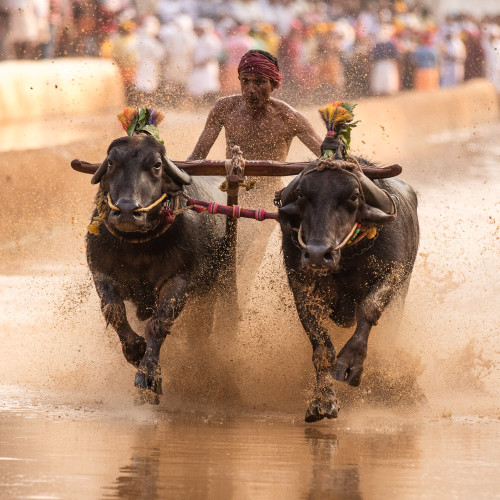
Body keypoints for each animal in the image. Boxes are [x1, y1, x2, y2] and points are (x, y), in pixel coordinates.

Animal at [78, 134, 229, 402]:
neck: (140, 248)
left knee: (200, 329)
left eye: (157, 165)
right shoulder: (101, 273)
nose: (127, 211)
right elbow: (115, 312)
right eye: (111, 163)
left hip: (212, 287)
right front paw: (136, 351)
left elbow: (158, 325)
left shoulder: (180, 280)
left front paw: (148, 375)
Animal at [278, 157, 418, 422]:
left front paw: (351, 362)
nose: (317, 255)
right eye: (301, 194)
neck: (347, 257)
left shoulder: (393, 273)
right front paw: (323, 400)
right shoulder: (301, 285)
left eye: (354, 197)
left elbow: (369, 308)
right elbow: (321, 346)